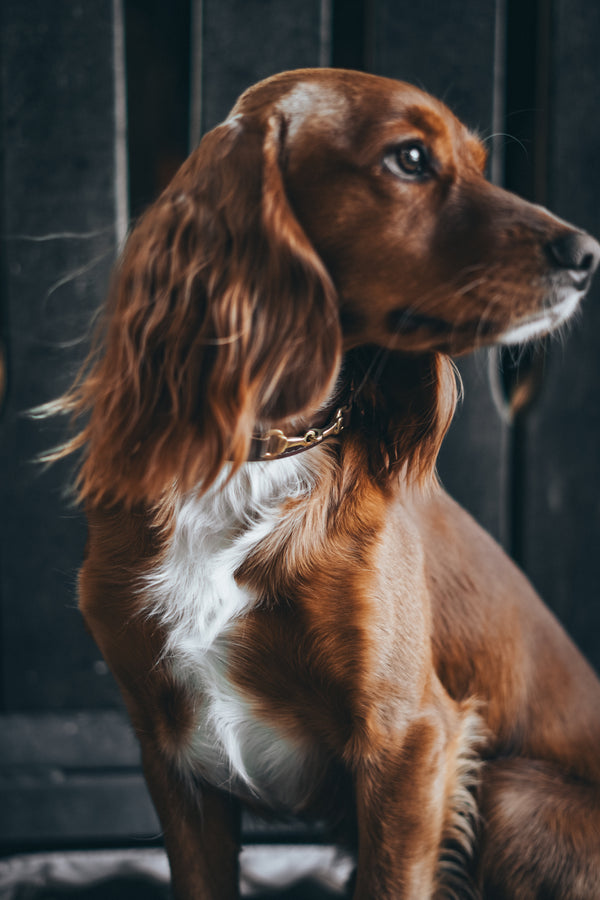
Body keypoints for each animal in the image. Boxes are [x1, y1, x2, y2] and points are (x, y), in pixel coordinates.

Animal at [52, 72, 600, 900]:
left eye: (480, 164)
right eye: (411, 158)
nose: (588, 253)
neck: (257, 455)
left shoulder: (410, 739)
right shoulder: (170, 751)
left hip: (513, 794)